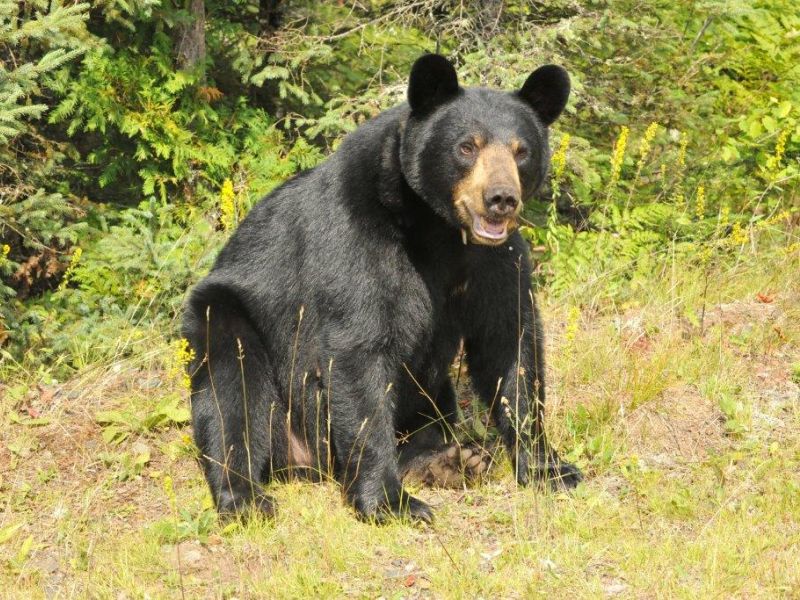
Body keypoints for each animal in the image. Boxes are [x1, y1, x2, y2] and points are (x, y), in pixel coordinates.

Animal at [182, 54, 582, 523]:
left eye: (522, 151)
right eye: (467, 147)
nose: (500, 199)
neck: (439, 231)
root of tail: (311, 461)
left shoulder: (495, 262)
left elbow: (510, 346)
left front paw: (550, 469)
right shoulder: (358, 239)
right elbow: (361, 349)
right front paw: (391, 503)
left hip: (429, 393)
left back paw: (449, 461)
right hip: (230, 319)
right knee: (231, 392)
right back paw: (245, 496)